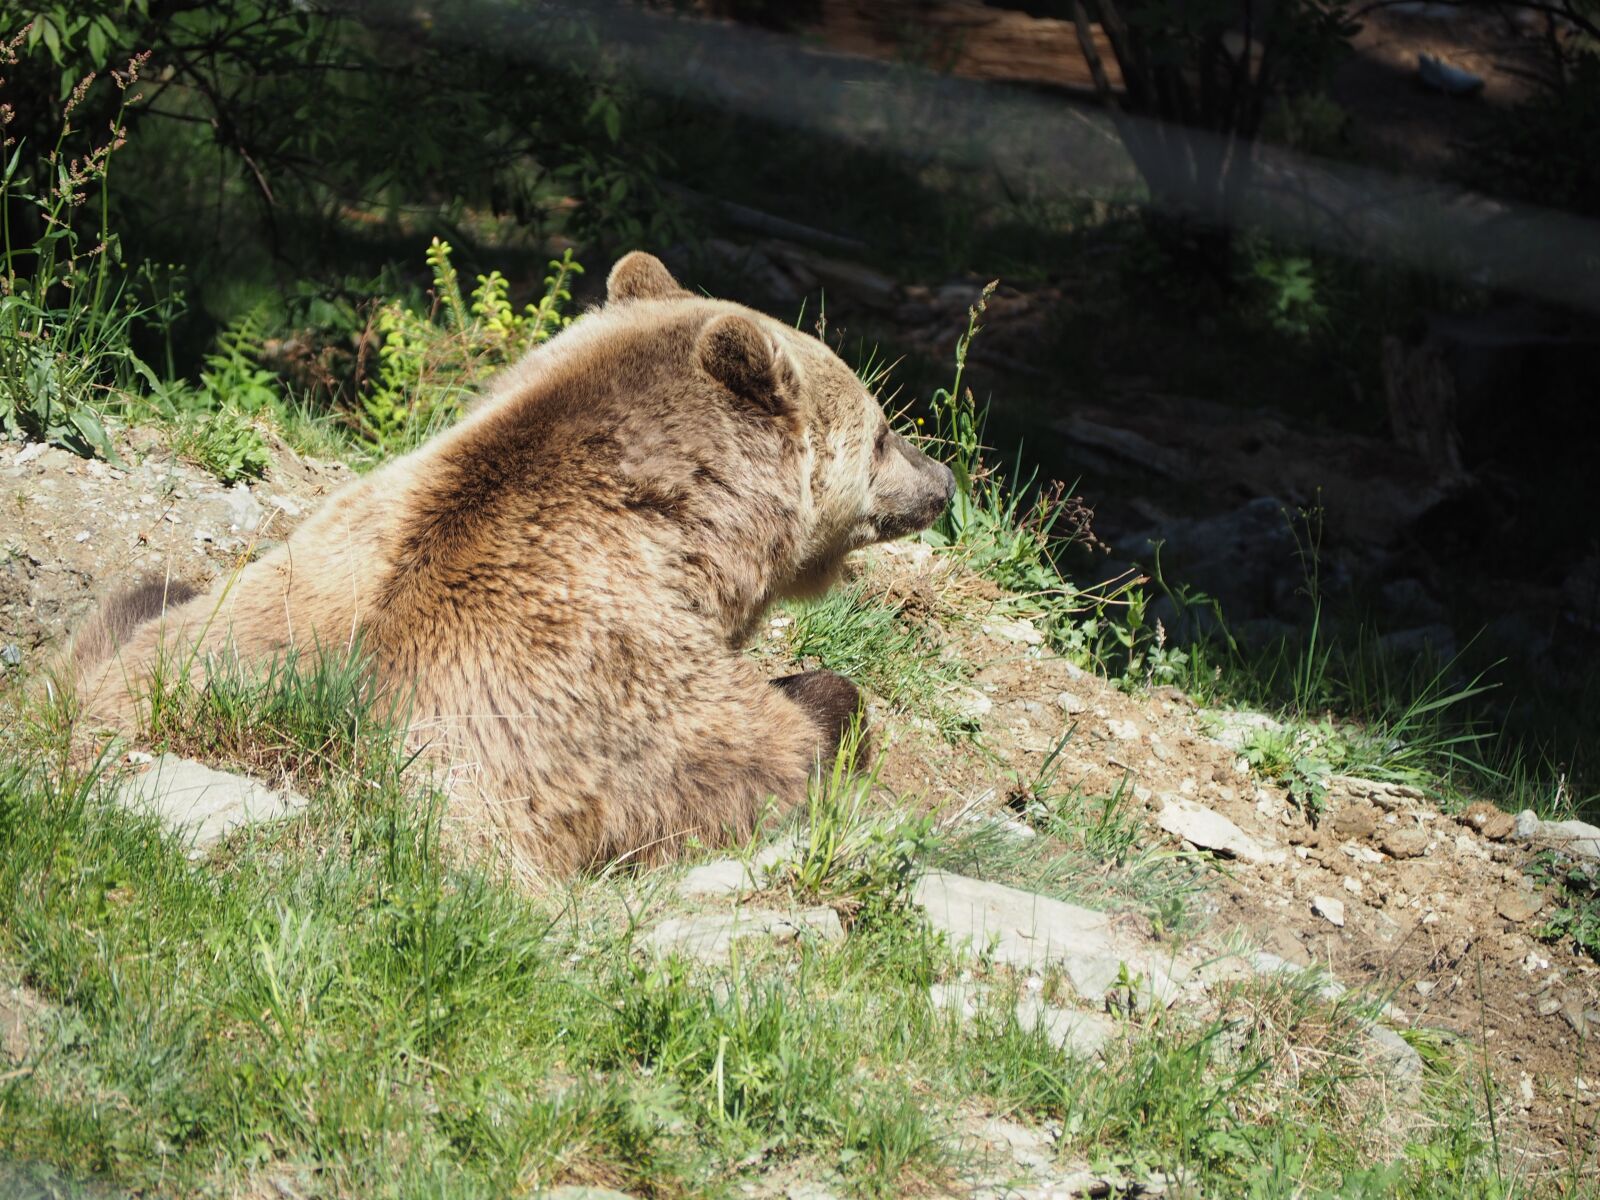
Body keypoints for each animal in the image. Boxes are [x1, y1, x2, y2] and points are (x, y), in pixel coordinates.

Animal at [71, 252, 955, 874]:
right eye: (883, 432)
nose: (943, 481)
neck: (690, 537)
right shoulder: (618, 686)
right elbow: (763, 748)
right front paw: (832, 713)